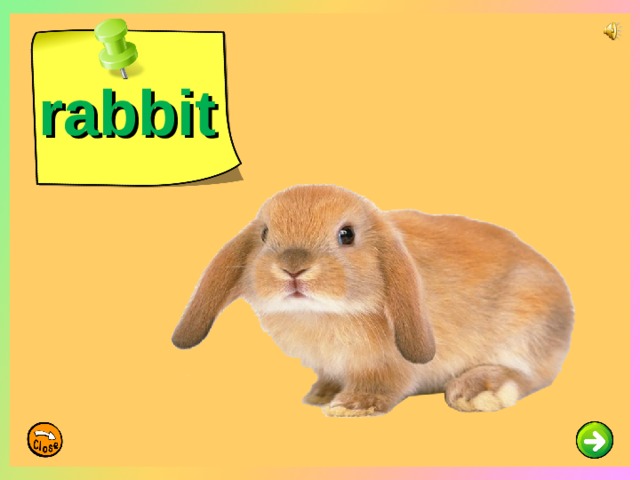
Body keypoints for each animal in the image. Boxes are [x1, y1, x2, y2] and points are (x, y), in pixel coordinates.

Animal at [172, 185, 574, 417]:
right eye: (266, 234)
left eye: (346, 235)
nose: (293, 268)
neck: (322, 314)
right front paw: (322, 394)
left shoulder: (389, 365)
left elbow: (383, 384)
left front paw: (351, 406)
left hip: (525, 330)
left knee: (528, 375)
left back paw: (476, 392)